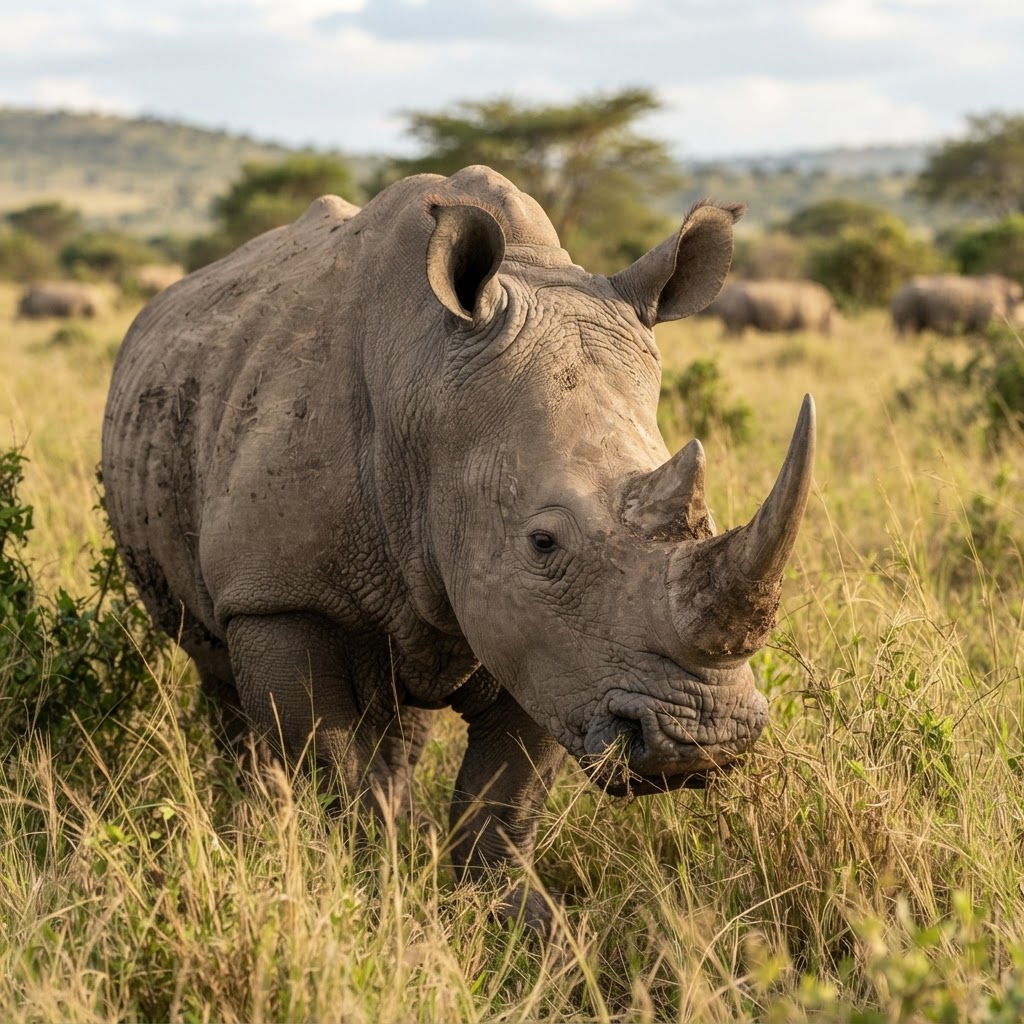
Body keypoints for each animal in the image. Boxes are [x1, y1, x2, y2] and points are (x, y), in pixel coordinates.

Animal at [102, 166, 815, 929]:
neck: (427, 401)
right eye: (543, 542)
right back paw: (252, 823)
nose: (702, 741)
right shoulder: (278, 596)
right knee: (219, 677)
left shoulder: (551, 644)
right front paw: (365, 897)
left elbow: (505, 797)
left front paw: (523, 925)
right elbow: (330, 769)